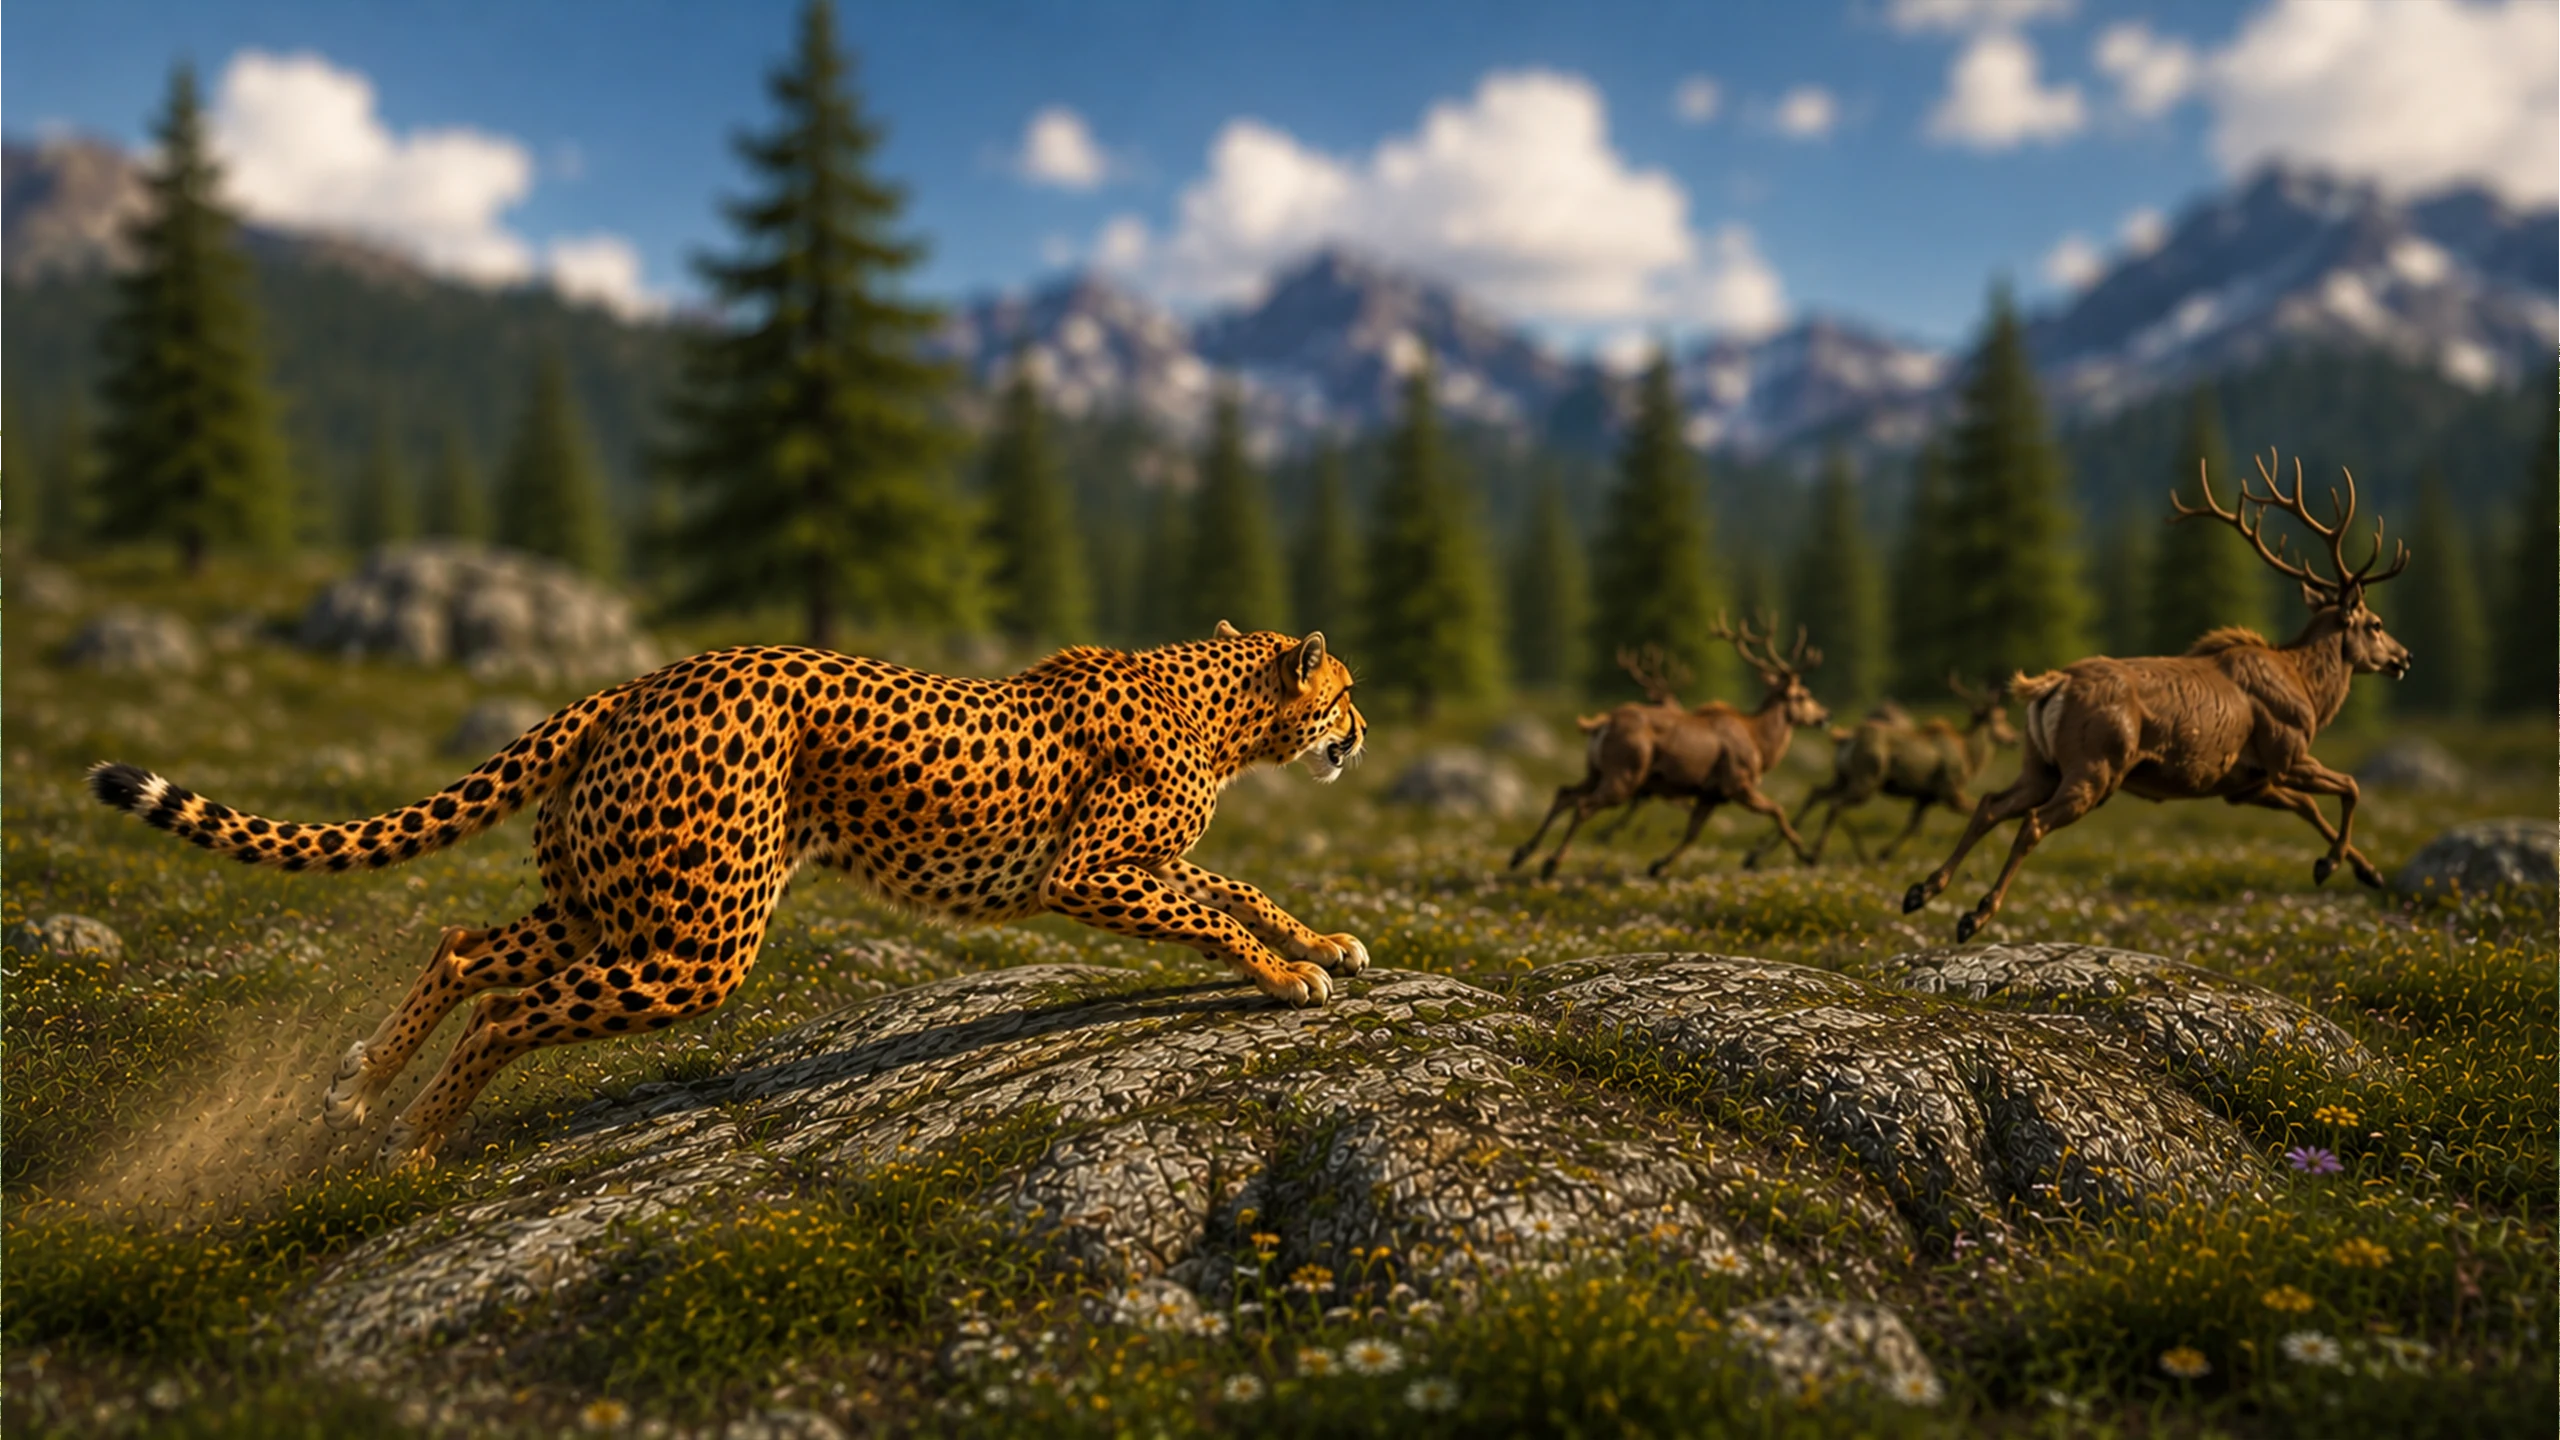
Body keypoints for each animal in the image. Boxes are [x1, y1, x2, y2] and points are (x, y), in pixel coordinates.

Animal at [87, 620, 1369, 1168]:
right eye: (1348, 689)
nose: (1362, 732)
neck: (1225, 707)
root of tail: (641, 681)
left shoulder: (1129, 862)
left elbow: (1231, 881)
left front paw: (1322, 941)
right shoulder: (1089, 871)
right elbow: (1205, 908)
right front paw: (1283, 976)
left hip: (609, 904)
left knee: (461, 945)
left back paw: (359, 1091)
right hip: (697, 943)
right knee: (506, 1010)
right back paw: (415, 1146)